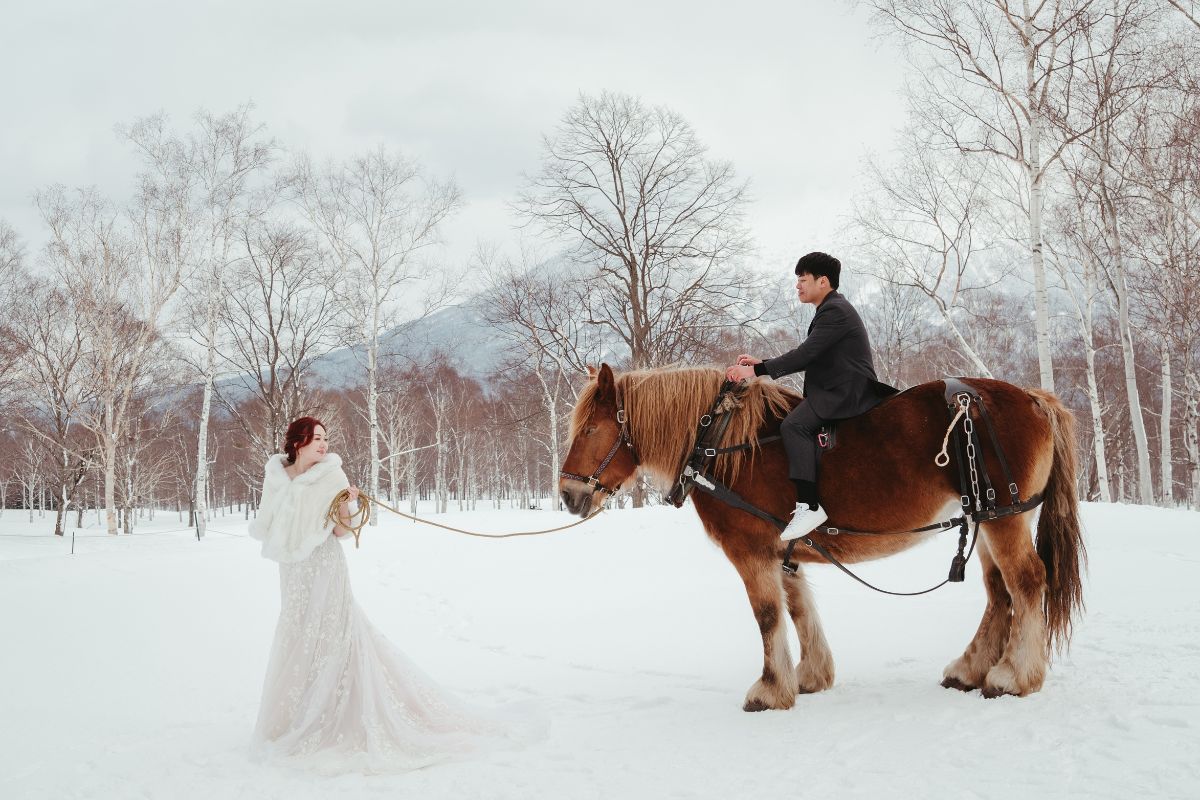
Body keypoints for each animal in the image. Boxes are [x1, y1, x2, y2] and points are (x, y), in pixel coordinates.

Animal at [556, 367, 1084, 710]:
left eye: (591, 429)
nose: (567, 494)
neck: (723, 446)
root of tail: (1034, 398)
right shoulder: (779, 551)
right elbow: (797, 609)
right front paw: (809, 676)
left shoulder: (751, 551)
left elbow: (768, 615)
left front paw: (770, 689)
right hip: (990, 517)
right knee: (1000, 592)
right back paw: (971, 668)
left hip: (1002, 517)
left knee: (1026, 582)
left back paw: (1014, 676)